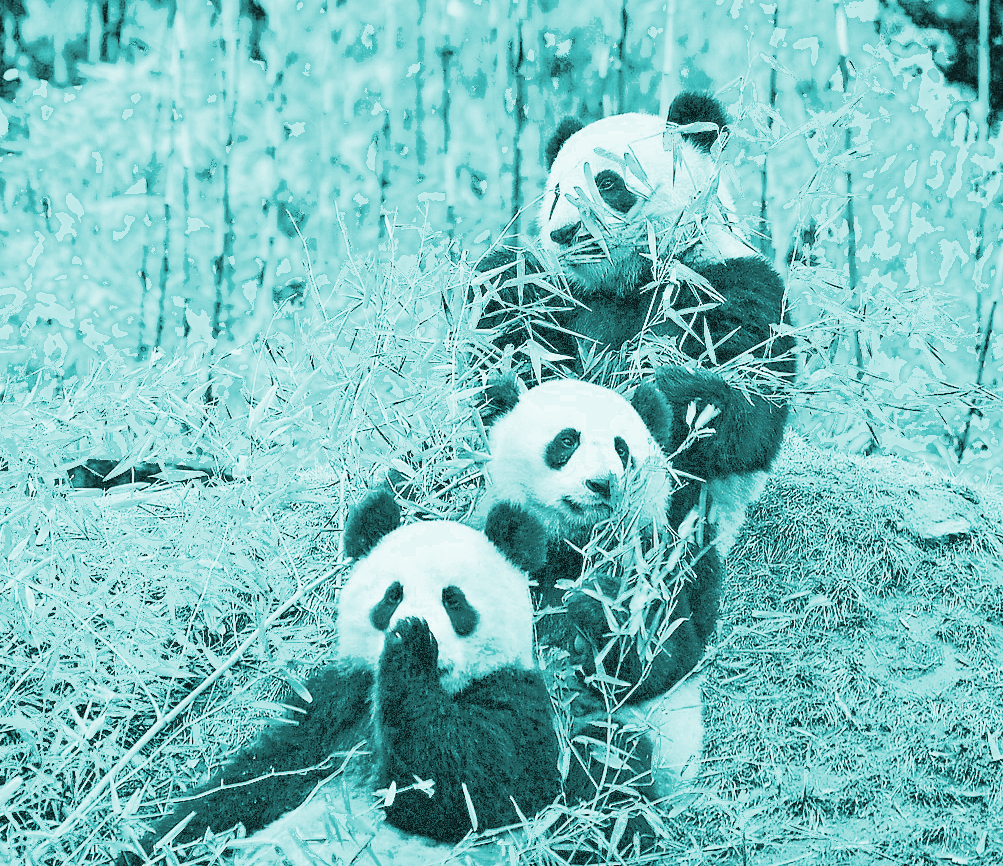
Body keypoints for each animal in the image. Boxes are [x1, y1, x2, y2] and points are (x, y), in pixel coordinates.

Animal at [120, 490, 559, 864]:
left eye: (453, 600)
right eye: (392, 595)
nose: (412, 623)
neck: (441, 690)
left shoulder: (517, 701)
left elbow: (467, 791)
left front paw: (411, 645)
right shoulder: (335, 708)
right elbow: (255, 781)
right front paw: (154, 843)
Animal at [476, 376, 717, 795]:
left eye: (622, 449)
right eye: (567, 440)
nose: (602, 484)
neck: (576, 542)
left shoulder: (658, 558)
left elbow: (666, 656)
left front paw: (599, 603)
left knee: (609, 755)